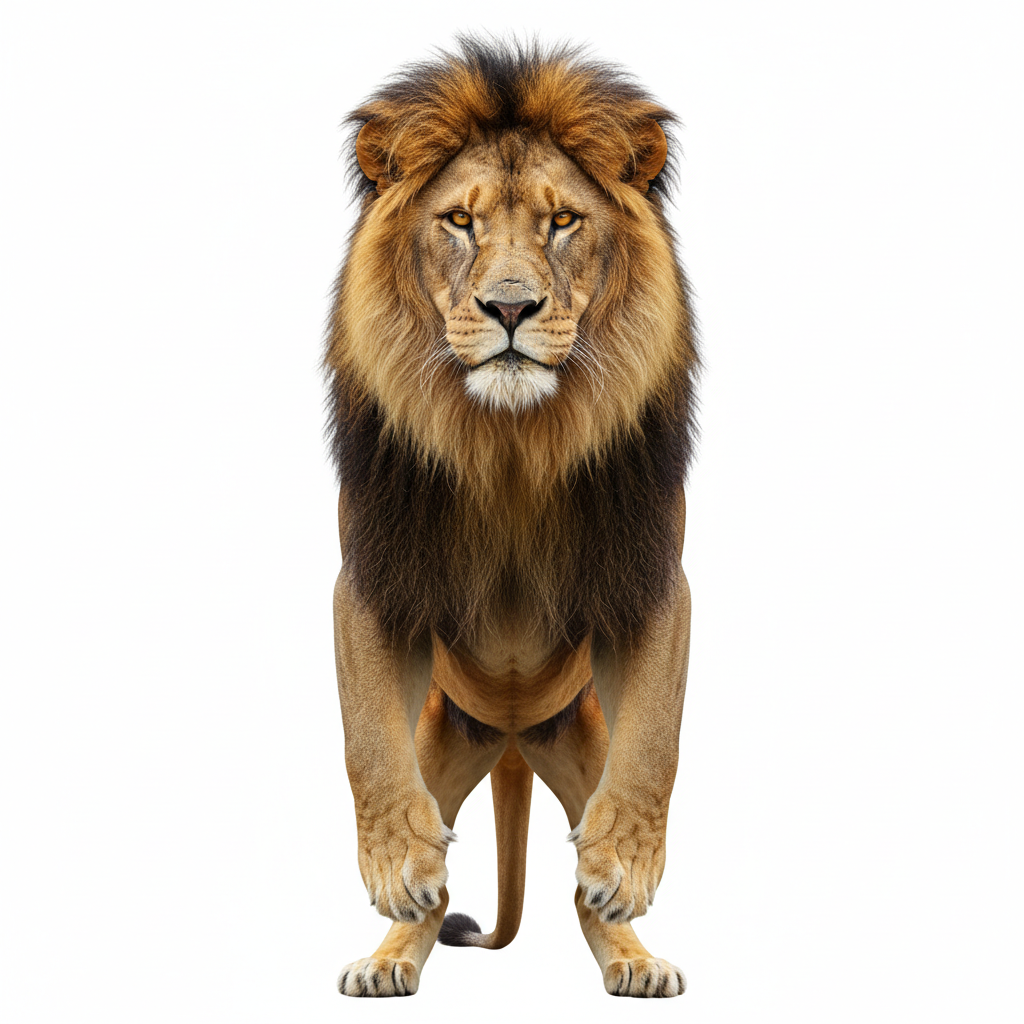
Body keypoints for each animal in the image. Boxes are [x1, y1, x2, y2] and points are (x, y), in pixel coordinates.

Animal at [324, 38, 699, 998]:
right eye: (459, 221)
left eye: (563, 220)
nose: (509, 307)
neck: (511, 443)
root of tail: (514, 741)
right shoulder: (372, 578)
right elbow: (366, 744)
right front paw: (397, 863)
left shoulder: (652, 579)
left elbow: (656, 742)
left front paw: (626, 862)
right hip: (442, 744)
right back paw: (392, 955)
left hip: (581, 743)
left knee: (580, 885)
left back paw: (631, 956)